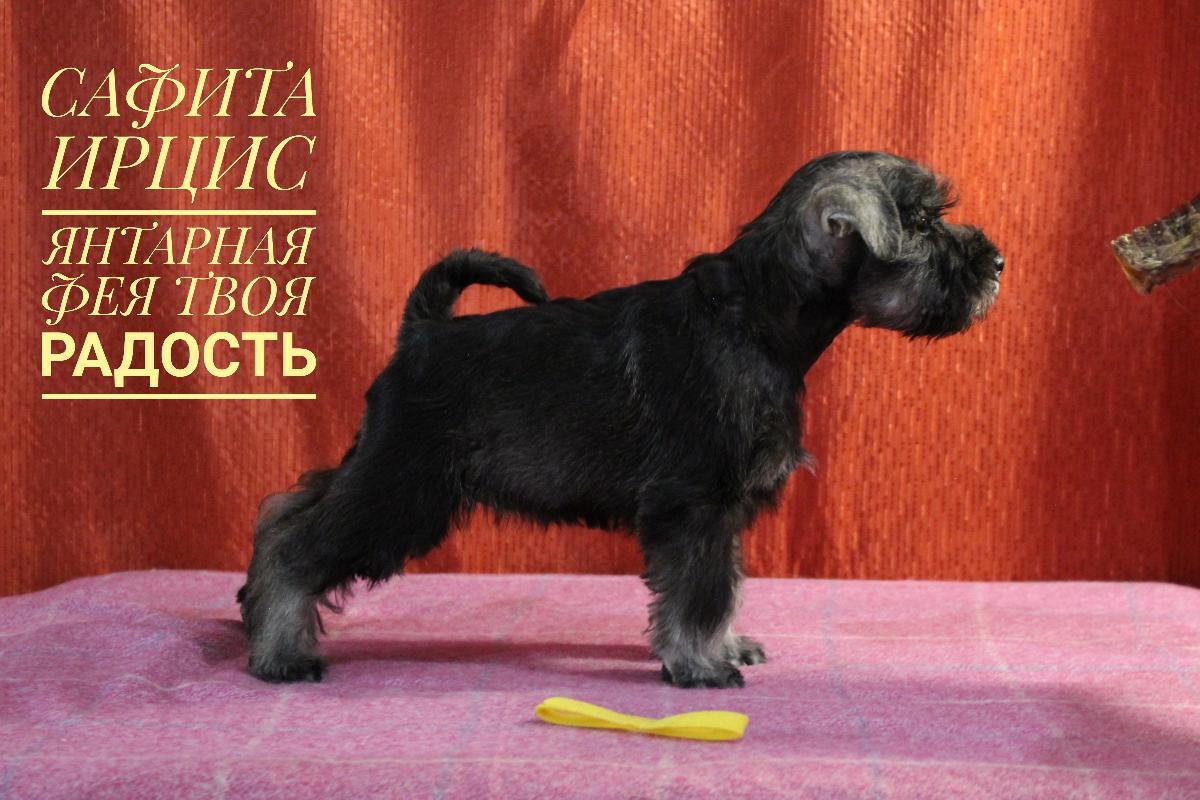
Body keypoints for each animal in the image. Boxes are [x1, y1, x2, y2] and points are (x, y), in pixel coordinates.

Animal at [238, 150, 1003, 688]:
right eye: (923, 222)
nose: (995, 261)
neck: (759, 318)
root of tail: (421, 332)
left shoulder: (720, 514)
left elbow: (722, 587)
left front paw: (725, 646)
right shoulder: (696, 505)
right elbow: (699, 593)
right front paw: (700, 664)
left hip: (381, 471)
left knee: (283, 509)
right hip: (402, 489)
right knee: (298, 547)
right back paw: (280, 651)